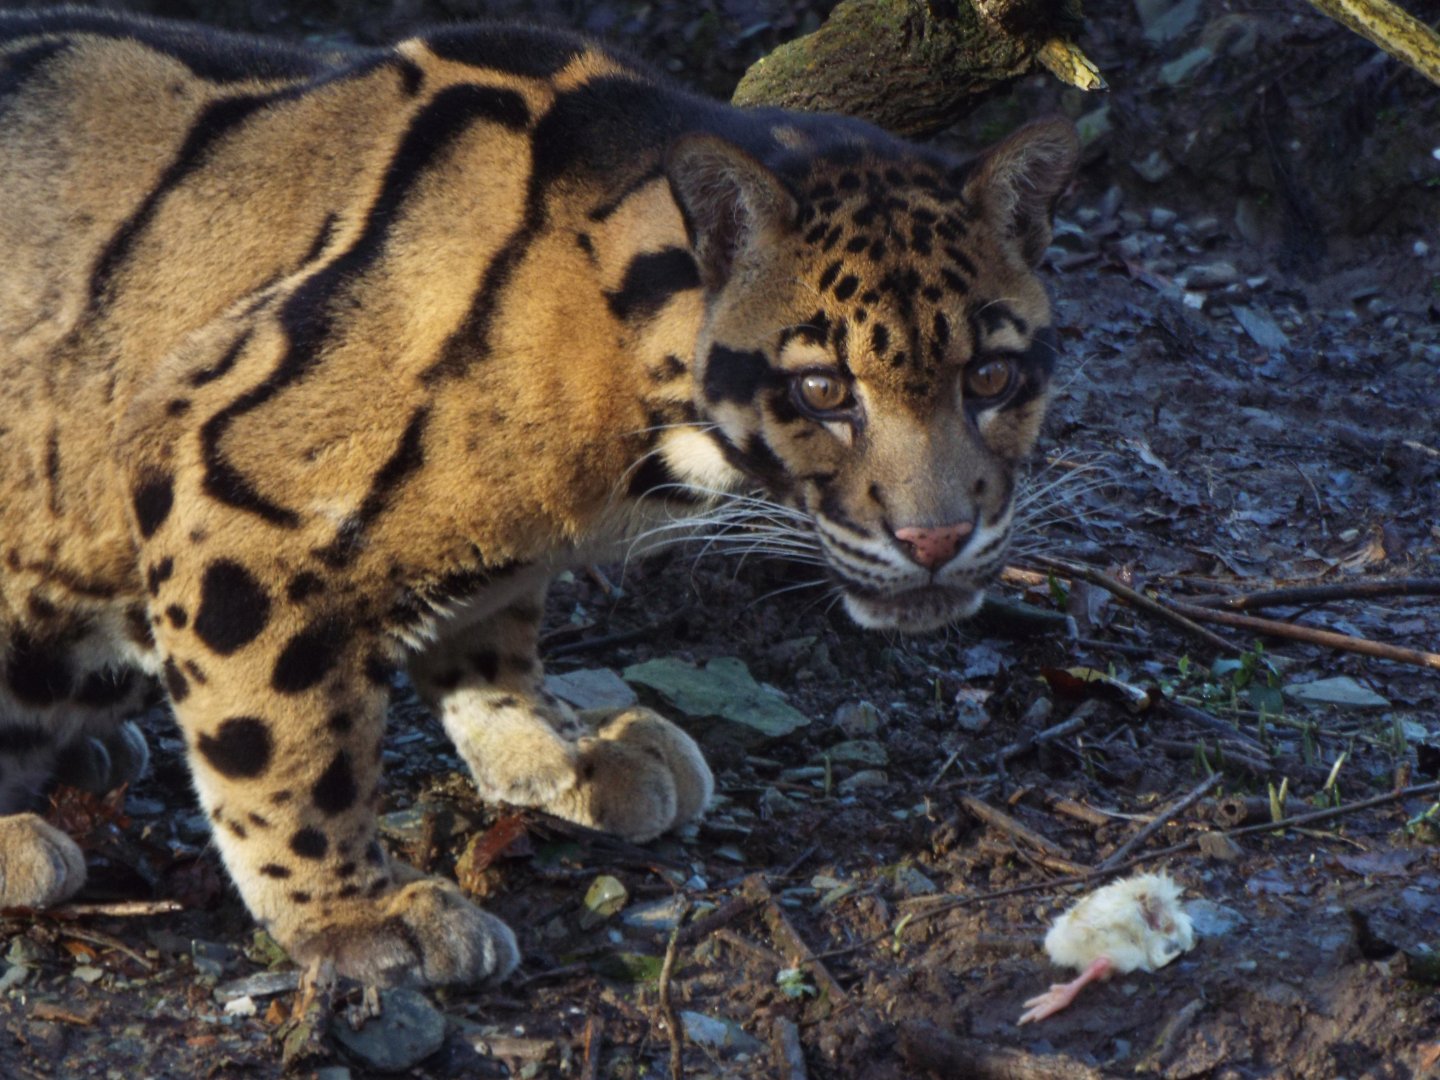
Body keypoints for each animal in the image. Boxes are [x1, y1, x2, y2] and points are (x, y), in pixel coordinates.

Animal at [0, 8, 1078, 987]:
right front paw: (355, 910)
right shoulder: (217, 474)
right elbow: (282, 735)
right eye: (821, 389)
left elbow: (491, 629)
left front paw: (554, 747)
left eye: (990, 377)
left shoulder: (497, 543)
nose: (936, 537)